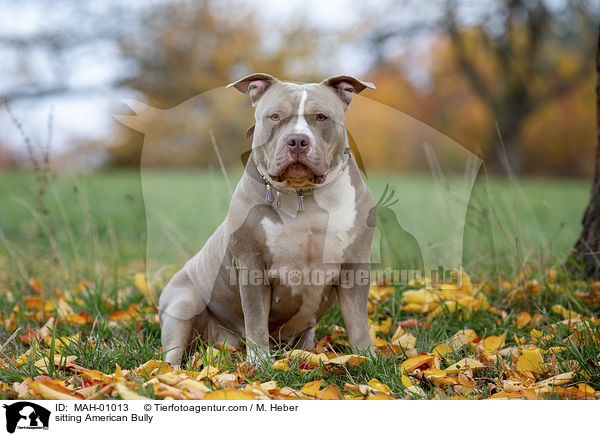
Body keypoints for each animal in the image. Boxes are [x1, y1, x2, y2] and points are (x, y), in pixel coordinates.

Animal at [159, 73, 376, 366]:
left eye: (321, 117)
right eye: (275, 116)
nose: (297, 140)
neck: (303, 196)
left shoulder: (354, 267)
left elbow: (358, 323)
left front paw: (366, 358)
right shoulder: (252, 266)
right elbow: (256, 320)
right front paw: (259, 363)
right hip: (182, 303)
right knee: (172, 352)